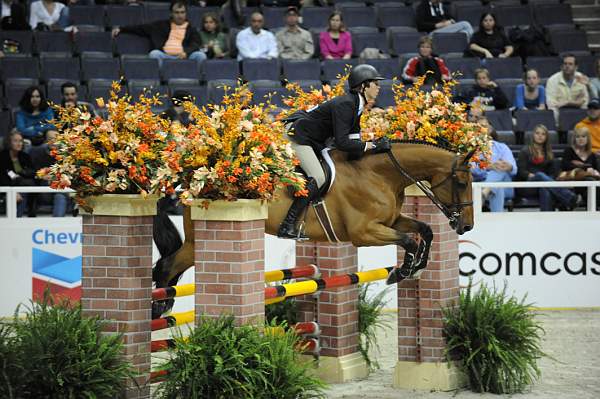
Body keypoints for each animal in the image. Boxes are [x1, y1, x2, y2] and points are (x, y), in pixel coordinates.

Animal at [150, 142, 474, 320]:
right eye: (460, 183)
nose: (466, 225)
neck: (379, 175)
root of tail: (195, 180)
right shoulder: (364, 233)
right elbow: (409, 240)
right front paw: (403, 271)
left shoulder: (391, 221)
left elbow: (424, 231)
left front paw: (415, 267)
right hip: (195, 242)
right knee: (166, 265)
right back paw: (157, 307)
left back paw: (163, 305)